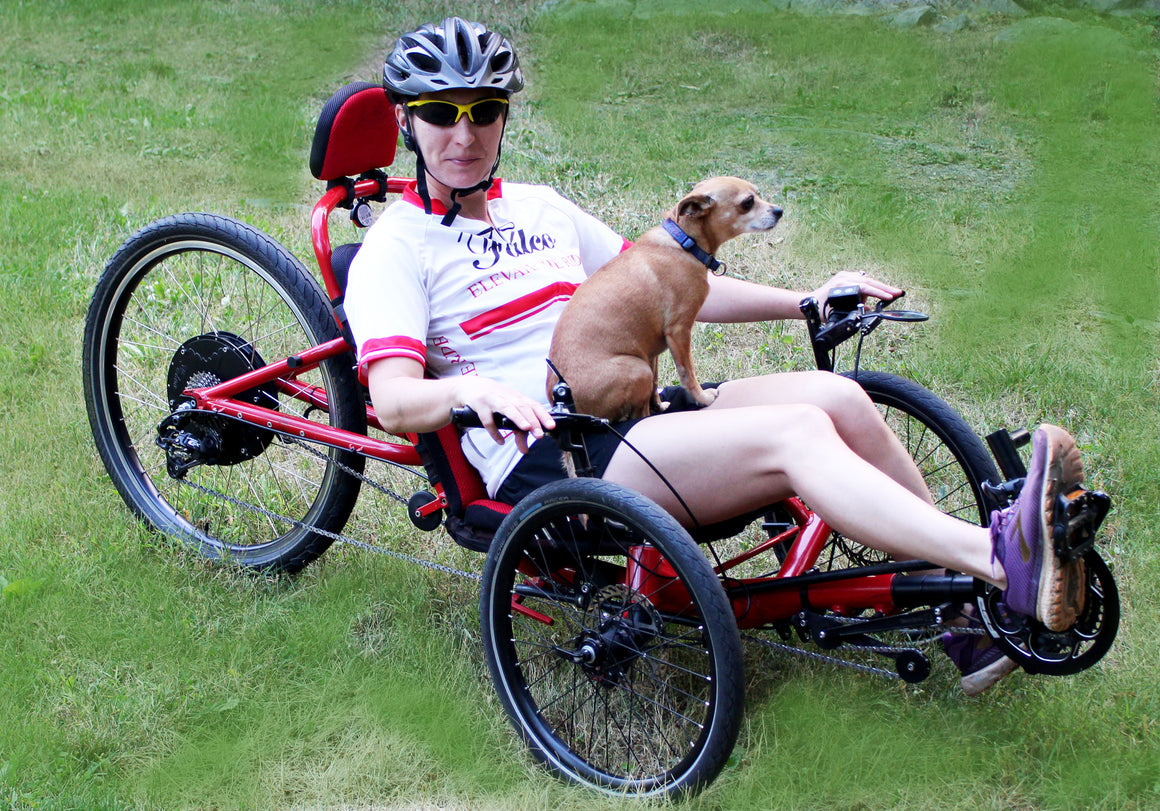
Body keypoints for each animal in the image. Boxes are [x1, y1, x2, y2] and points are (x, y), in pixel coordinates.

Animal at [548, 176, 783, 423]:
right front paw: (702, 398)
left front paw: (660, 405)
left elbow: (655, 383)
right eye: (747, 202)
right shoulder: (679, 331)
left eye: (757, 193)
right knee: (639, 413)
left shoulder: (653, 353)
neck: (685, 243)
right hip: (637, 369)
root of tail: (563, 405)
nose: (779, 211)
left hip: (643, 364)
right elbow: (687, 373)